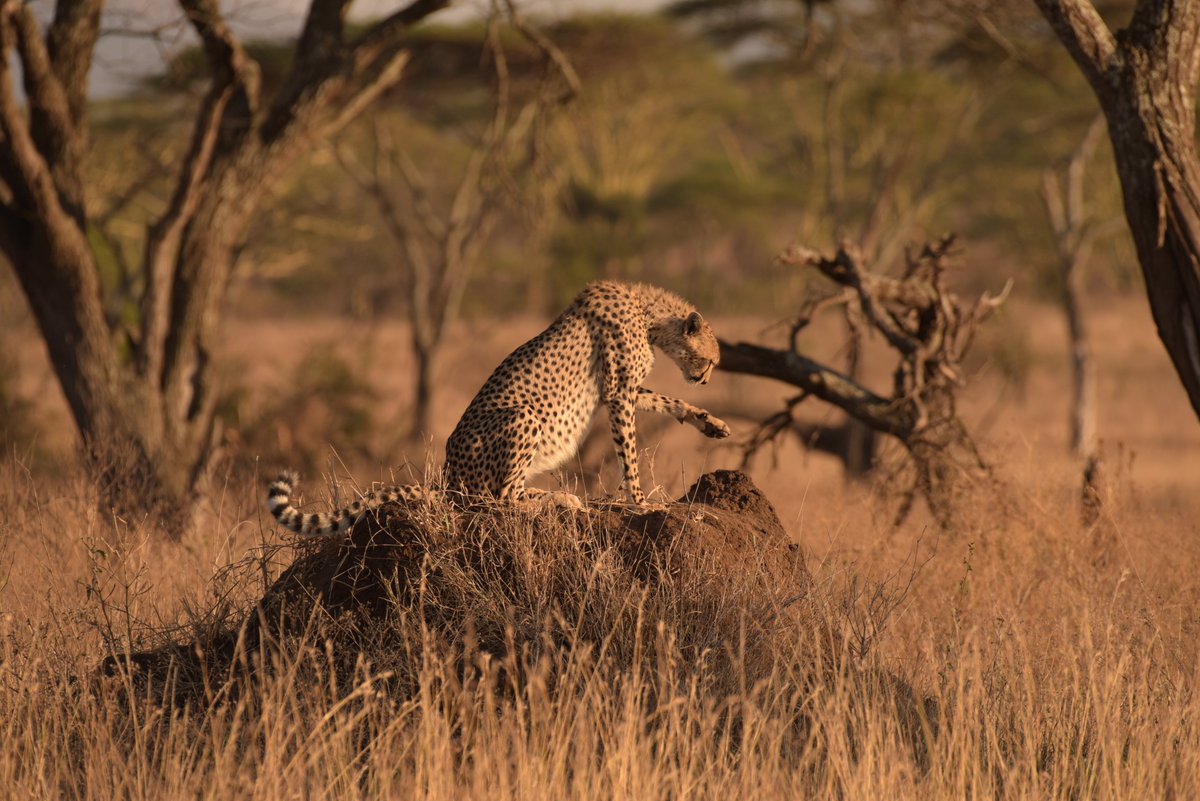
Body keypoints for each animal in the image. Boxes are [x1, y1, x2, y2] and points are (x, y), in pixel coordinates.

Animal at [266, 281, 724, 537]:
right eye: (710, 361)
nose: (705, 381)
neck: (649, 315)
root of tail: (447, 480)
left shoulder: (622, 391)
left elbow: (668, 401)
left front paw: (710, 422)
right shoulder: (617, 392)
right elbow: (628, 453)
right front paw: (643, 502)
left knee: (507, 494)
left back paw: (551, 495)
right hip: (523, 415)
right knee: (499, 500)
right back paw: (552, 501)